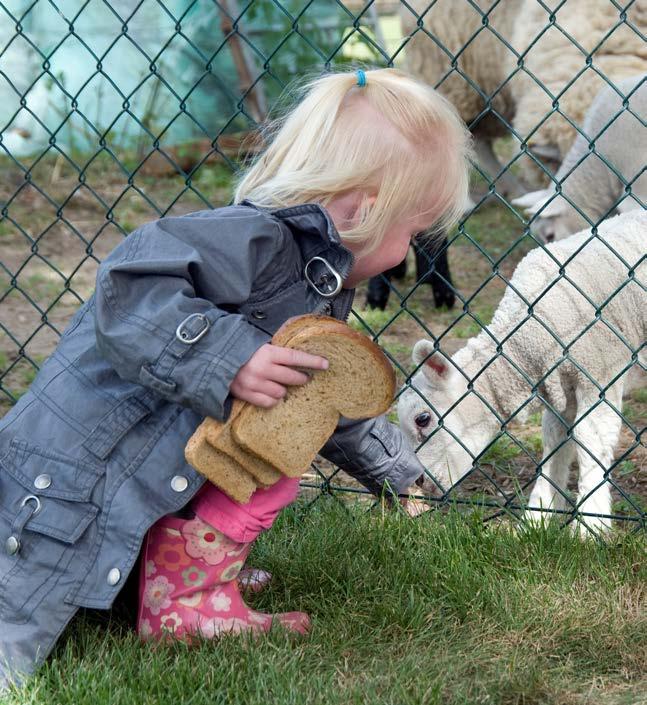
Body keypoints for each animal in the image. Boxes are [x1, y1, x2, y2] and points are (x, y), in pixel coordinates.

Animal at [398, 212, 644, 536]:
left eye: (423, 419)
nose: (419, 482)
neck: (527, 340)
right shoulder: (560, 387)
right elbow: (555, 441)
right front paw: (536, 519)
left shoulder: (599, 370)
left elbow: (591, 441)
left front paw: (590, 527)